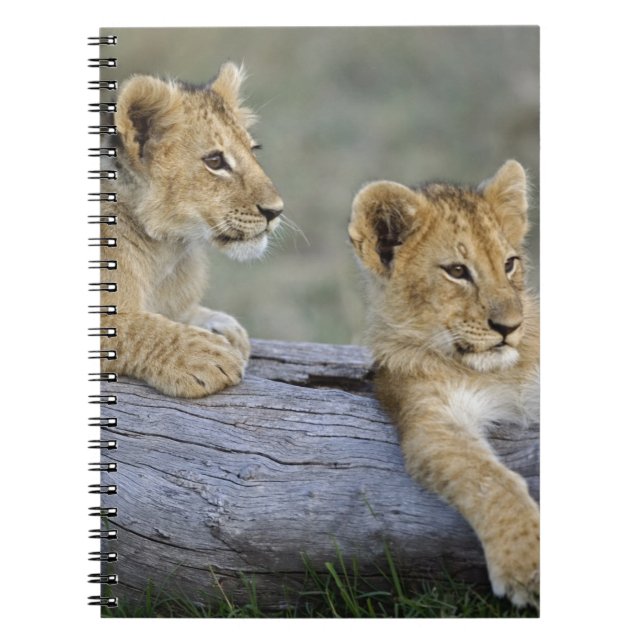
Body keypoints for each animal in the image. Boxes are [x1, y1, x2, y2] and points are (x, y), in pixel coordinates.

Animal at [99, 63, 283, 398]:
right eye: (215, 161)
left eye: (253, 150)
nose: (276, 211)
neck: (165, 253)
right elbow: (128, 325)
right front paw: (204, 355)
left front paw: (220, 325)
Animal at [348, 160, 540, 607]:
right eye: (457, 271)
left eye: (509, 263)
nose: (510, 327)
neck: (499, 370)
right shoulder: (430, 414)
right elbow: (488, 479)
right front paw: (526, 565)